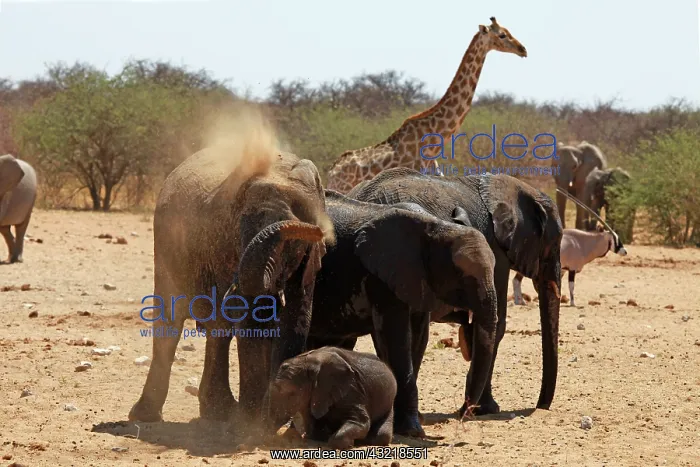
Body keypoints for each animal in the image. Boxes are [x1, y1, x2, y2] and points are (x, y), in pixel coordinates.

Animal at [128, 140, 333, 429]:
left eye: (293, 245)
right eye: (239, 234)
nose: (316, 229)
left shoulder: (307, 263)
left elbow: (296, 320)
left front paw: (268, 422)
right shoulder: (225, 247)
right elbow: (249, 320)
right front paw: (251, 425)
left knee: (219, 328)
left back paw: (218, 413)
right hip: (166, 244)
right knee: (173, 322)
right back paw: (149, 416)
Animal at [268, 346, 396, 449]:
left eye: (291, 393)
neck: (309, 362)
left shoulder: (352, 391)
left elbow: (362, 422)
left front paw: (349, 444)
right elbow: (313, 428)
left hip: (389, 403)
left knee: (382, 436)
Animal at [303, 190, 497, 437]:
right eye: (461, 274)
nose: (463, 414)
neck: (437, 227)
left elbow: (418, 338)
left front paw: (402, 424)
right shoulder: (381, 277)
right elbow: (396, 338)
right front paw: (412, 431)